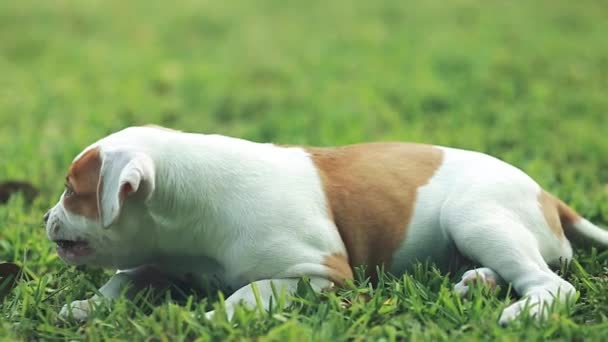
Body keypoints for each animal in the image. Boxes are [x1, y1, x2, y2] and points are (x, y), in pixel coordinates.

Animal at [46, 125, 608, 324]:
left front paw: (212, 317)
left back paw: (522, 310)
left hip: (475, 215)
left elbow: (252, 290)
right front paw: (88, 304)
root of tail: (550, 197)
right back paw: (478, 282)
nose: (47, 219)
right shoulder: (165, 260)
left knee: (552, 282)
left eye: (72, 191)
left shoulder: (321, 273)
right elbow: (127, 276)